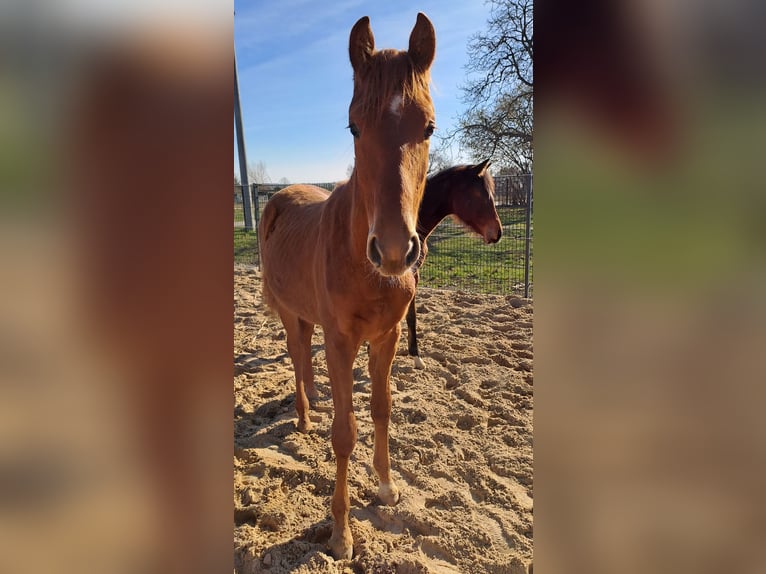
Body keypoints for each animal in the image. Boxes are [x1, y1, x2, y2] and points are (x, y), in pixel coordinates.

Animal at [260, 13, 436, 564]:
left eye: (429, 127)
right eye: (354, 126)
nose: (396, 250)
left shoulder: (388, 338)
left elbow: (380, 411)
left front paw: (386, 487)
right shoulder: (341, 342)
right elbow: (345, 432)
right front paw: (341, 533)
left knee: (304, 358)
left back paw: (314, 399)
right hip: (289, 312)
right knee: (297, 353)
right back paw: (303, 416)